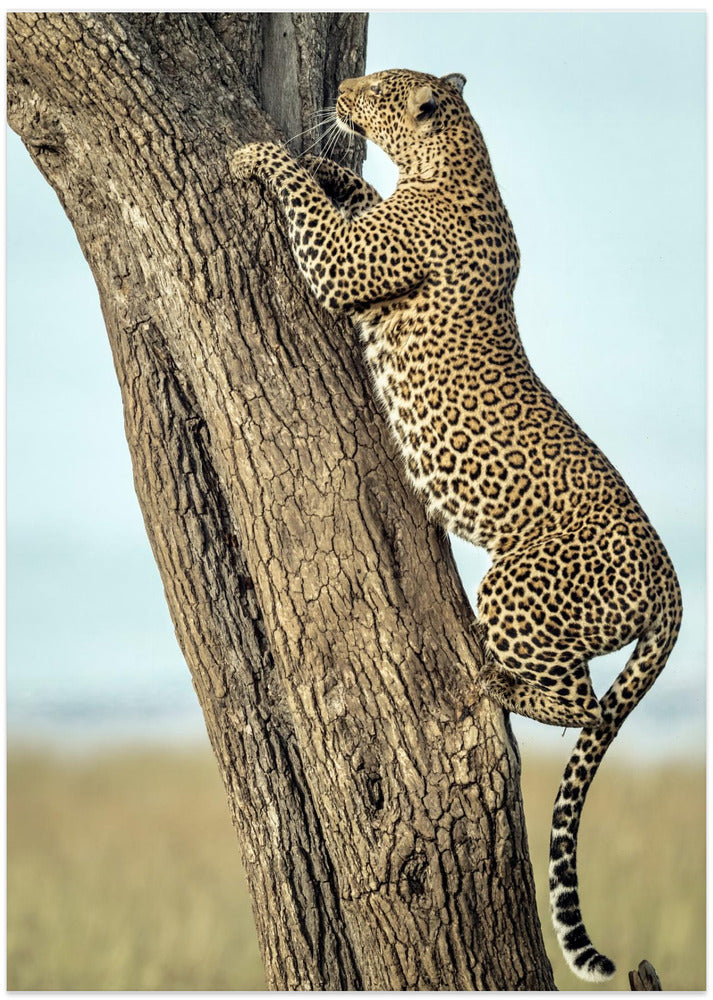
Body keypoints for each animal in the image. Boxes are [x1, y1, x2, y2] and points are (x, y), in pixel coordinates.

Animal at [231, 68, 683, 982]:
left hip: (517, 584)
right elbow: (348, 198)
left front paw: (258, 156)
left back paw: (494, 685)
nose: (341, 86)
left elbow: (304, 204)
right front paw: (332, 172)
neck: (451, 163)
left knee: (577, 700)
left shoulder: (343, 268)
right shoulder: (370, 230)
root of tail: (673, 583)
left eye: (374, 88)